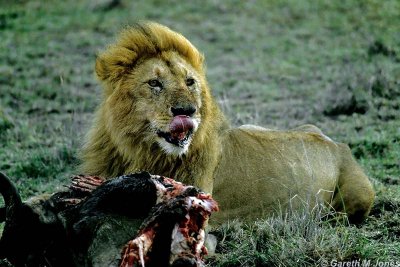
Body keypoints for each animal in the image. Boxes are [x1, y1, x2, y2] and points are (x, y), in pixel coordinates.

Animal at [80, 22, 376, 225]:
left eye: (190, 81)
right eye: (154, 83)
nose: (188, 110)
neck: (137, 150)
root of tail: (337, 144)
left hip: (359, 195)